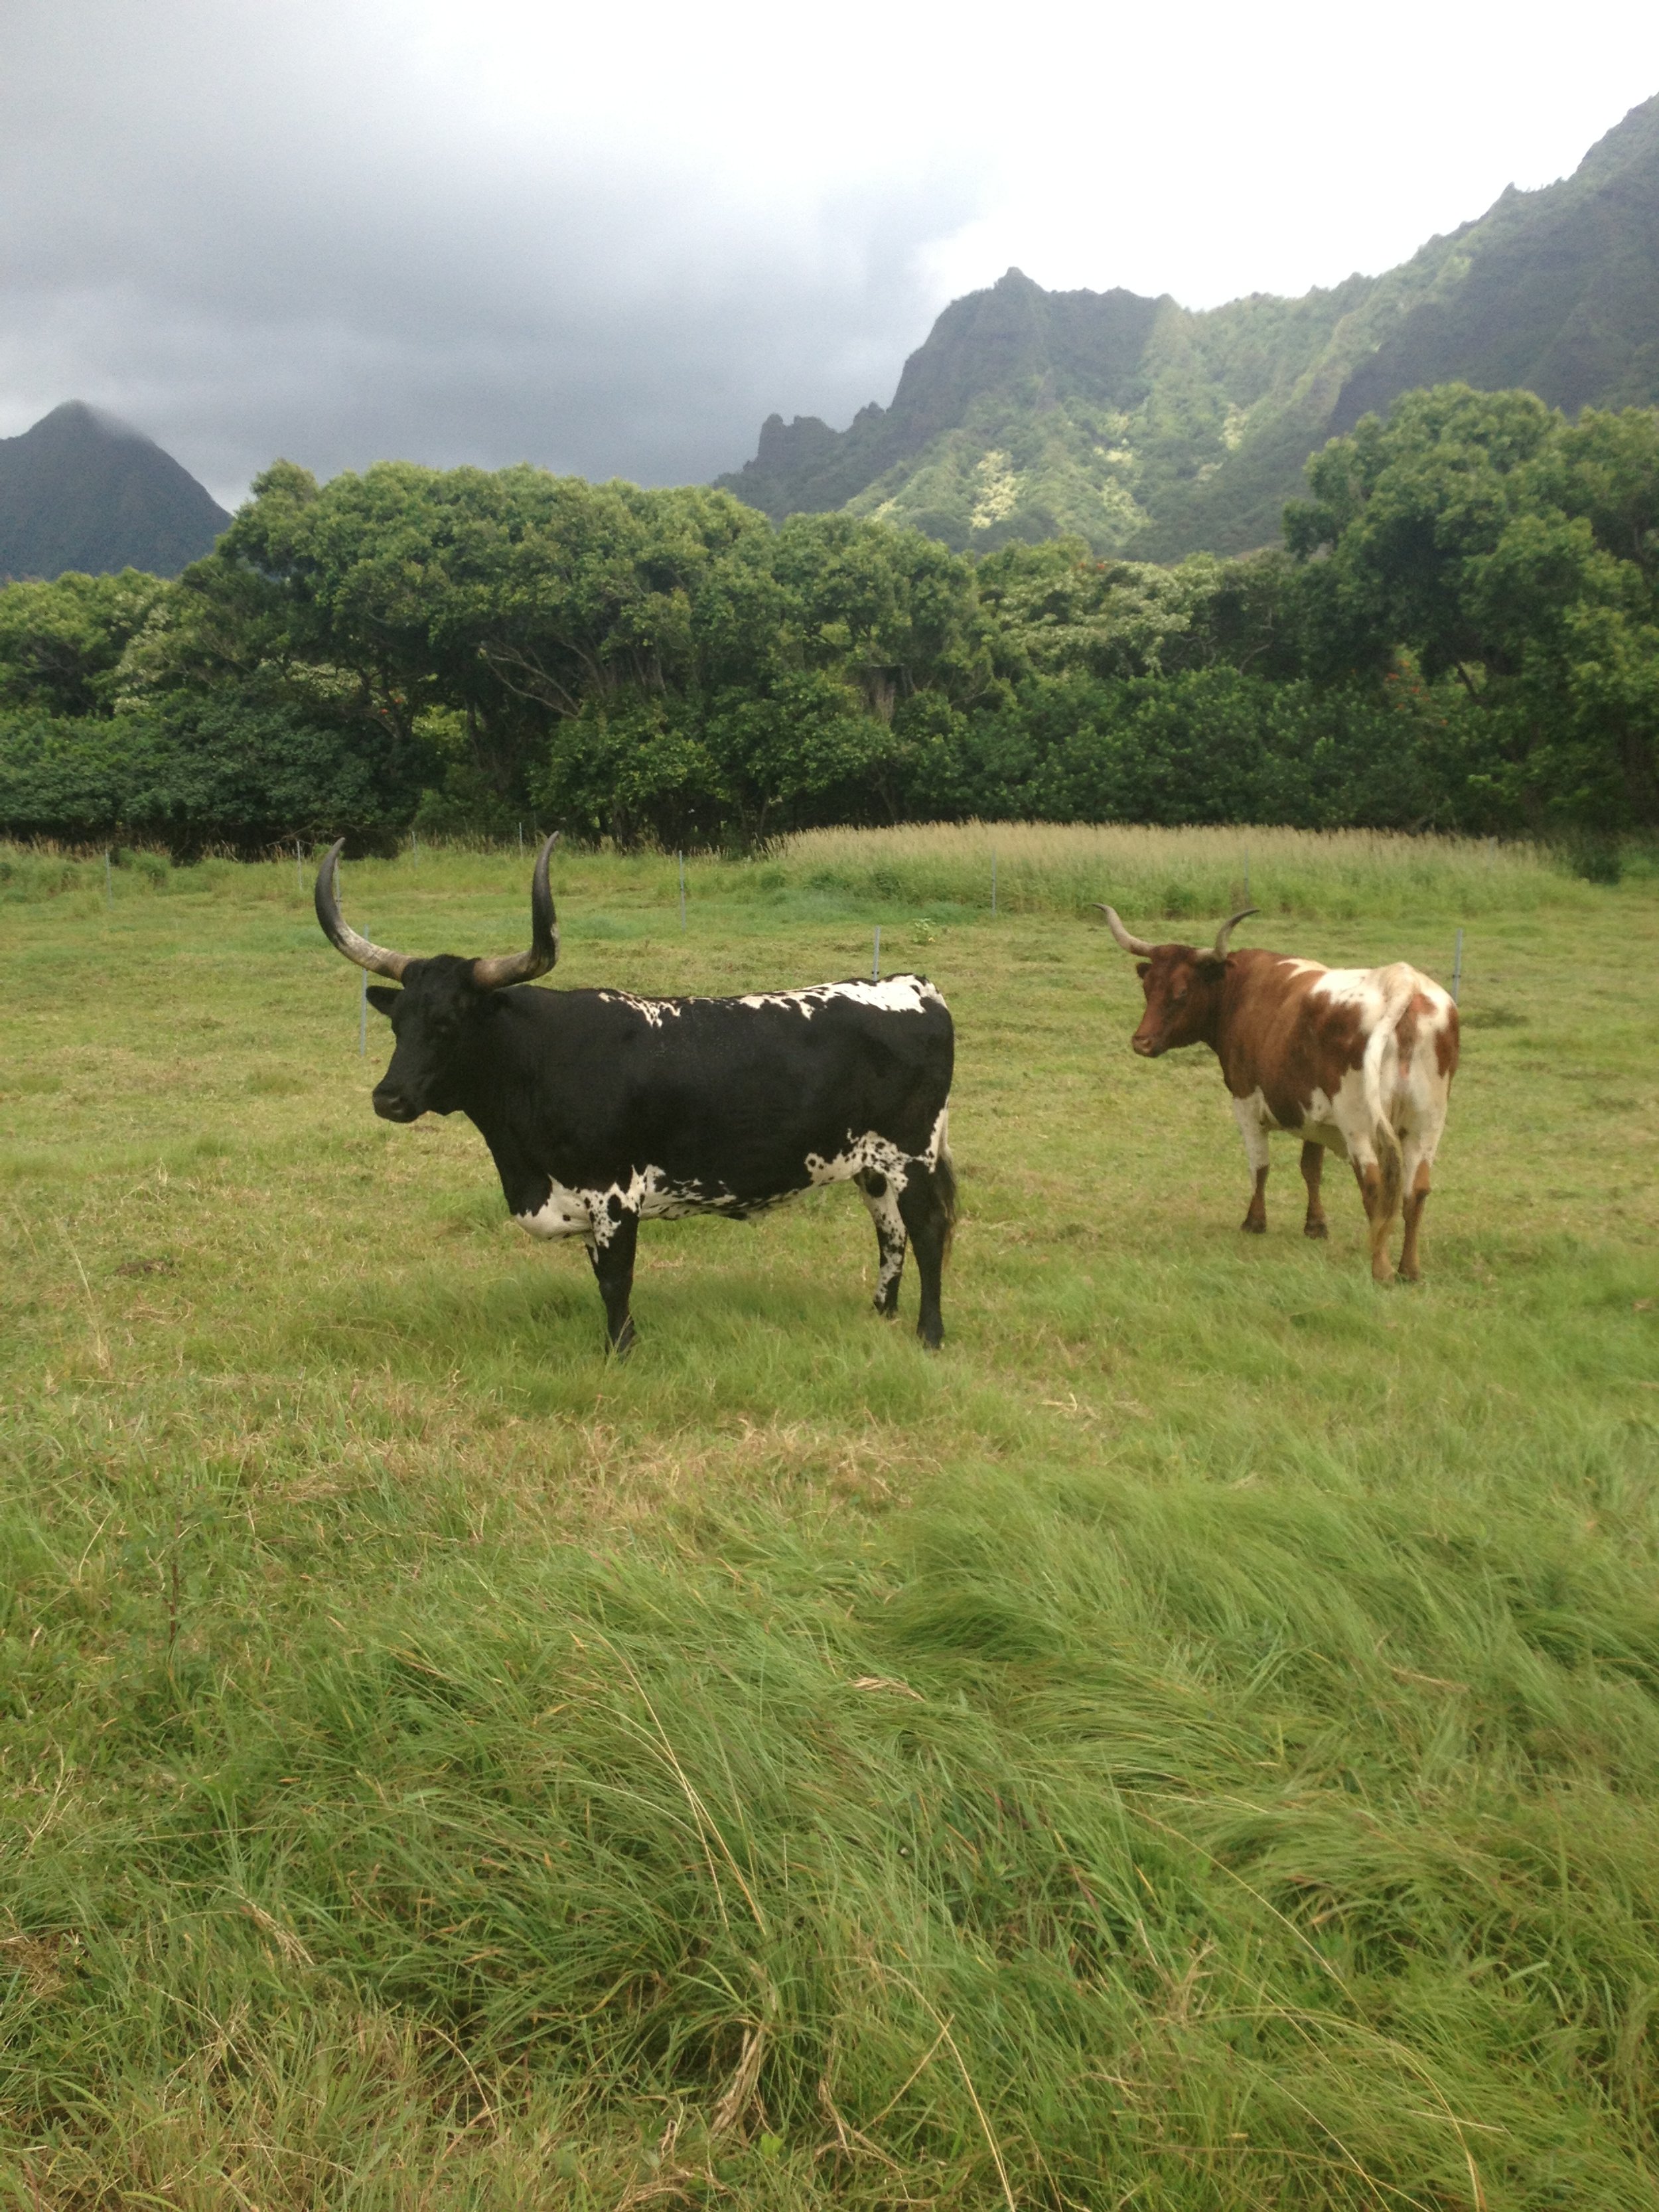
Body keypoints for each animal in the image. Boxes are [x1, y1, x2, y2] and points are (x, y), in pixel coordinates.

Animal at [315, 837, 956, 1353]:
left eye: (448, 1023)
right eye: (399, 1024)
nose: (388, 1098)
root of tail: (912, 985)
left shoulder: (614, 1192)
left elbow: (614, 1280)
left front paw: (619, 1351)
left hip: (911, 1154)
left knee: (927, 1231)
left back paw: (929, 1333)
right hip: (871, 1166)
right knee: (890, 1231)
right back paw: (881, 1312)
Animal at [1096, 904, 1459, 1283]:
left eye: (1181, 992)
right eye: (1148, 987)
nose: (1141, 1042)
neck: (1239, 990)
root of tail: (1402, 983)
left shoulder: (1244, 1100)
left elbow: (1260, 1165)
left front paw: (1255, 1221)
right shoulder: (1313, 1113)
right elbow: (1311, 1168)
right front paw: (1315, 1225)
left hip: (1360, 1124)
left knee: (1374, 1183)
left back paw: (1381, 1268)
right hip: (1427, 1124)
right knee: (1415, 1190)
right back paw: (1409, 1270)